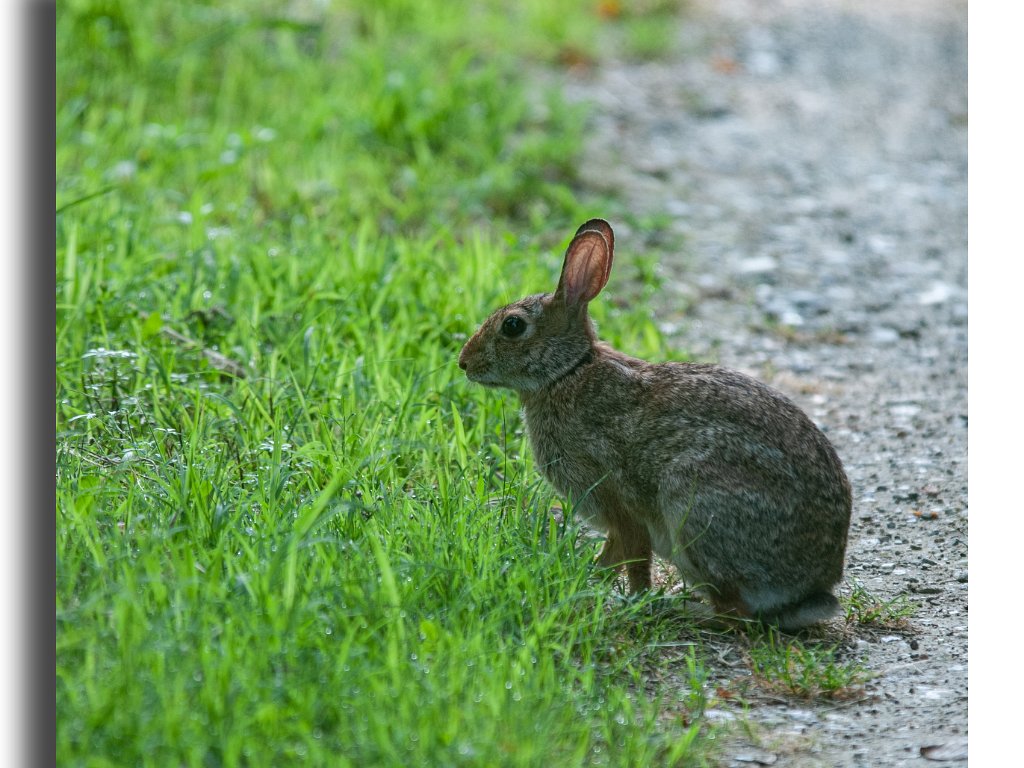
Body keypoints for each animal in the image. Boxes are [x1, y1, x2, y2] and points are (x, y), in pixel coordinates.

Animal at [460, 217, 851, 630]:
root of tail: (811, 588)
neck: (567, 371)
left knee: (735, 613)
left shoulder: (617, 499)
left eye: (512, 326)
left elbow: (631, 557)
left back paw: (688, 613)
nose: (464, 362)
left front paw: (622, 598)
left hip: (693, 503)